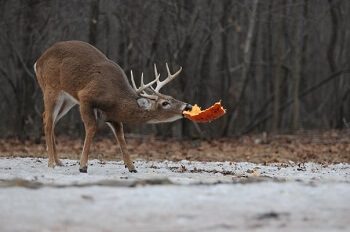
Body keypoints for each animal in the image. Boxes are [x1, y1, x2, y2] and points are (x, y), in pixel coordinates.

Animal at [34, 40, 193, 173]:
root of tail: (38, 61)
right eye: (165, 103)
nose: (188, 106)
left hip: (68, 99)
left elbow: (120, 135)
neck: (116, 98)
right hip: (51, 88)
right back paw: (51, 163)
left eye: (172, 98)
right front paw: (83, 166)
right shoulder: (85, 97)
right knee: (48, 122)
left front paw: (131, 167)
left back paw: (58, 161)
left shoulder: (111, 115)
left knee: (48, 118)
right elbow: (92, 128)